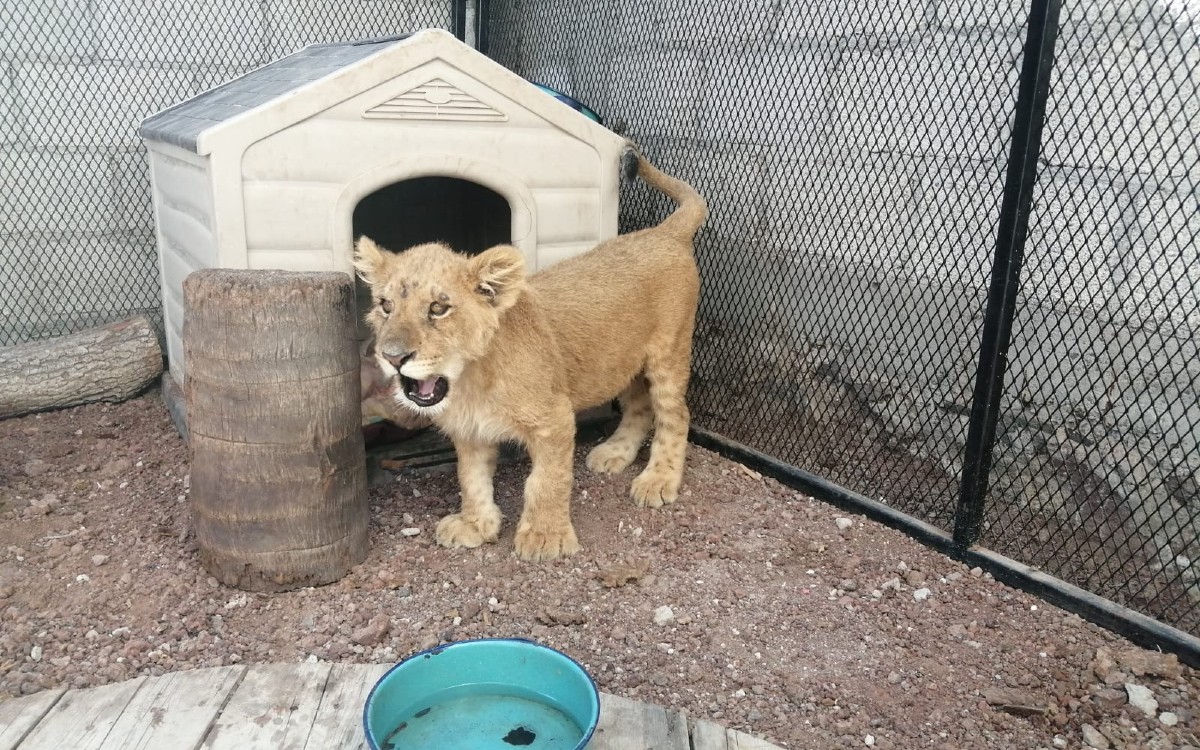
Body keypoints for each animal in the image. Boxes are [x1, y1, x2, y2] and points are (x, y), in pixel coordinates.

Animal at [353, 146, 707, 561]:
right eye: (385, 306)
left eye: (438, 308)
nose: (392, 357)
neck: (470, 381)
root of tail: (664, 232)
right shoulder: (470, 431)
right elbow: (470, 478)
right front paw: (475, 524)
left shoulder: (555, 418)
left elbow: (546, 481)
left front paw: (544, 536)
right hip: (624, 362)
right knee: (639, 406)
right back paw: (614, 453)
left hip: (669, 352)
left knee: (675, 414)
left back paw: (658, 479)